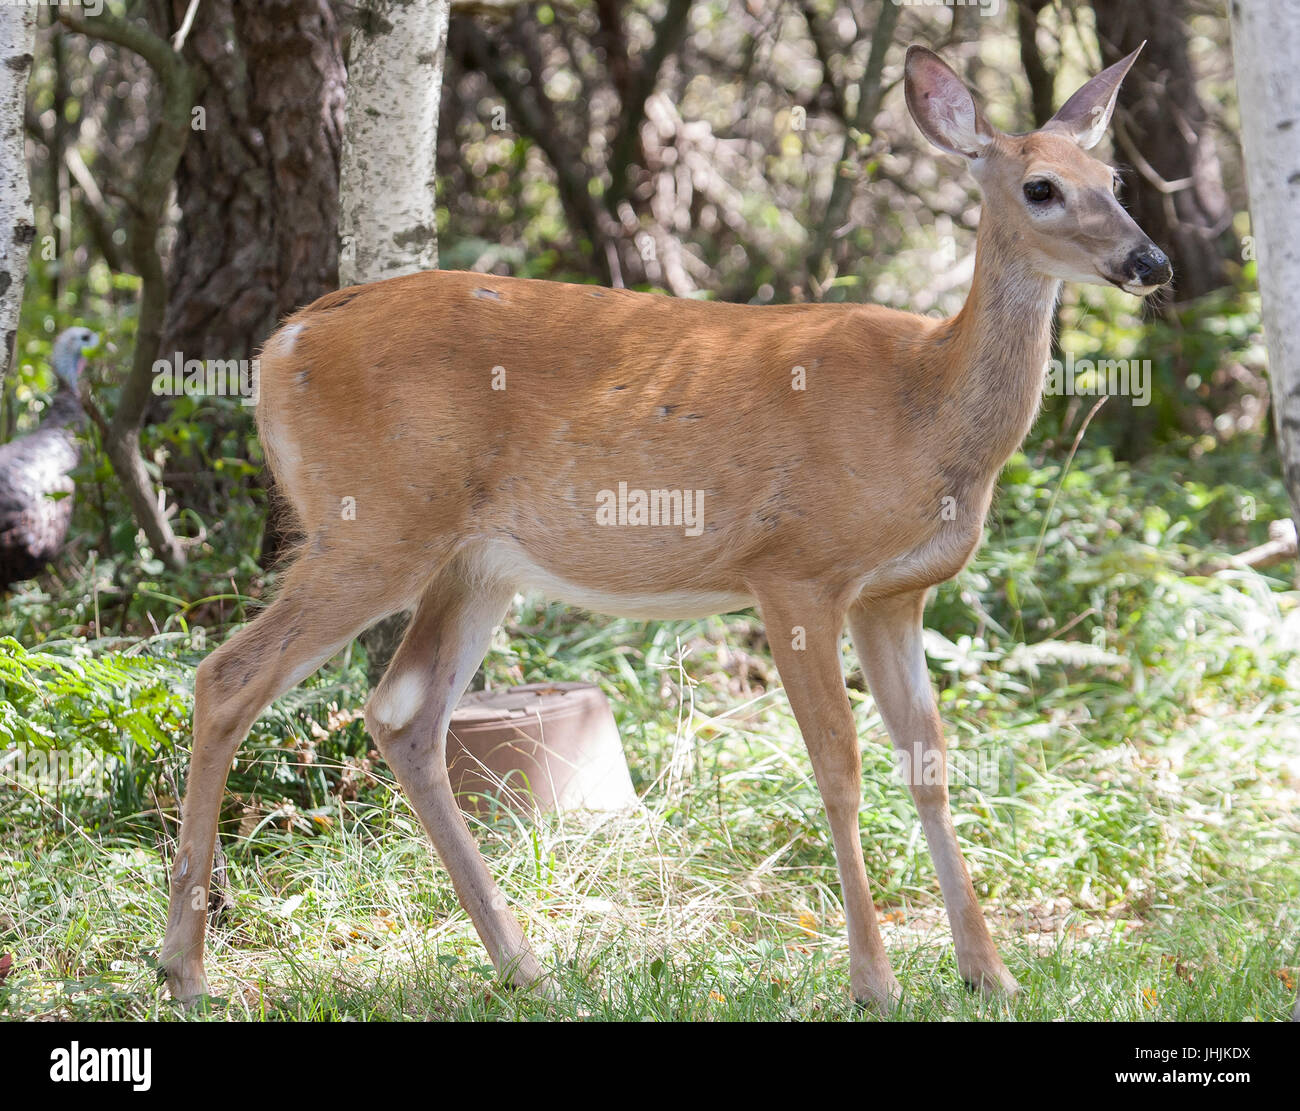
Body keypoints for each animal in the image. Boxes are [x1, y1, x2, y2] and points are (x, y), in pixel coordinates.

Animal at [159, 44, 1171, 1010]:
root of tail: (280, 346)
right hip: (371, 526)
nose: (1151, 262)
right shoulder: (793, 569)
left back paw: (526, 967)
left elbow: (928, 763)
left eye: (1116, 177)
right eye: (1040, 187)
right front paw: (874, 981)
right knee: (228, 676)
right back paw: (185, 968)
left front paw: (988, 974)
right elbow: (837, 766)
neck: (925, 408)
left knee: (402, 711)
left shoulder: (895, 595)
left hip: (475, 563)